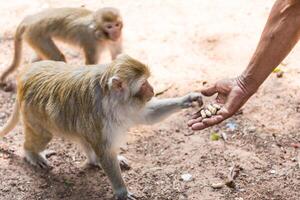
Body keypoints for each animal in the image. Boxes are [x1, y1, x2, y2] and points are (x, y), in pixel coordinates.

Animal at [0, 54, 203, 200]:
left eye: (148, 81)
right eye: (143, 83)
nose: (152, 89)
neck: (113, 98)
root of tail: (25, 74)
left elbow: (147, 116)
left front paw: (188, 99)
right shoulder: (100, 114)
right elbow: (105, 151)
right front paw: (121, 192)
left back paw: (94, 160)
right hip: (33, 112)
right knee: (43, 136)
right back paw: (31, 153)